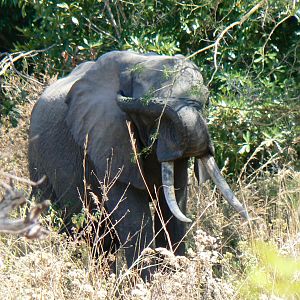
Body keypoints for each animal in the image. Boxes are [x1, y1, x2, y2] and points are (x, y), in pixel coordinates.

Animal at [28, 51, 248, 278]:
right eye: (153, 115)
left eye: (206, 102)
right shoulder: (109, 140)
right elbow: (133, 215)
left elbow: (173, 206)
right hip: (38, 161)